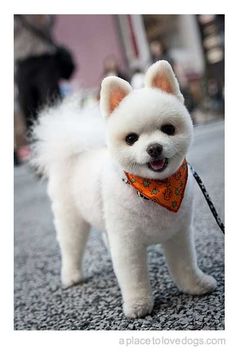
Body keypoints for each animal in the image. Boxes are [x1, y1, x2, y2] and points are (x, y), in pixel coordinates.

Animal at [32, 61, 217, 320]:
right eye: (131, 139)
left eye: (168, 129)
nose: (154, 148)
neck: (155, 191)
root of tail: (76, 154)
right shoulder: (128, 244)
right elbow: (134, 279)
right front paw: (139, 305)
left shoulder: (178, 234)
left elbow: (185, 265)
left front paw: (196, 286)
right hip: (71, 218)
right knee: (70, 247)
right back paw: (72, 276)